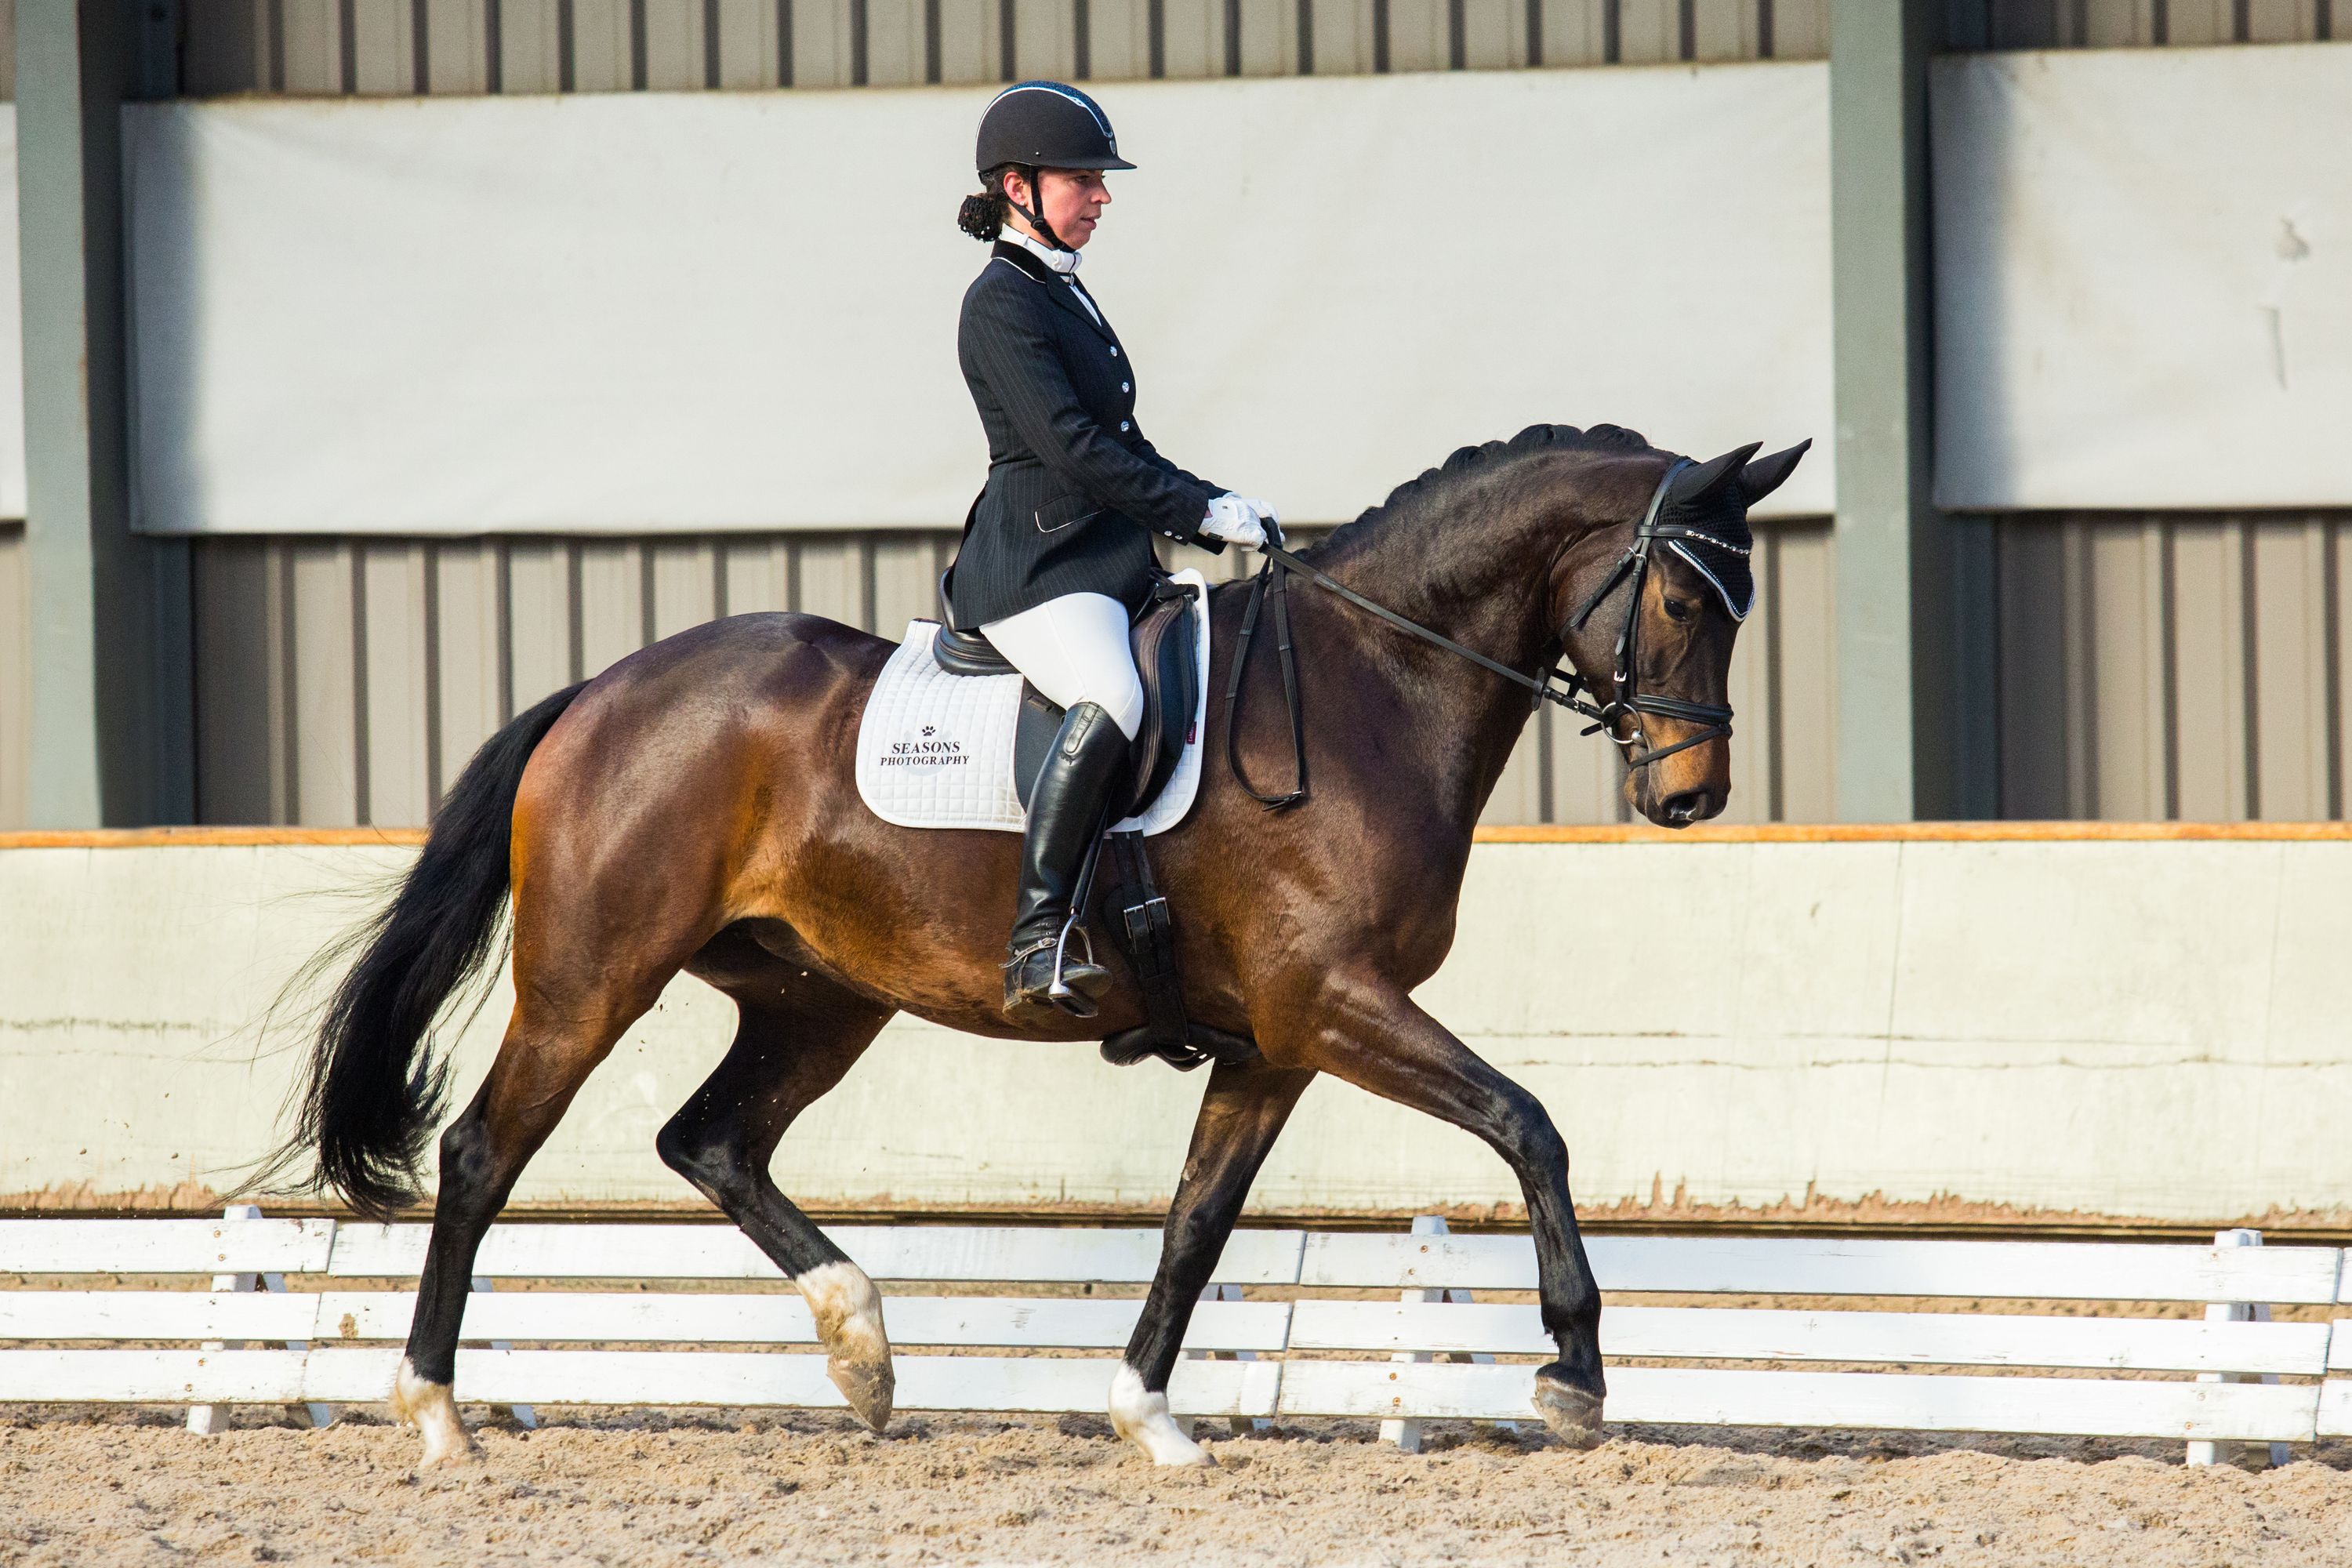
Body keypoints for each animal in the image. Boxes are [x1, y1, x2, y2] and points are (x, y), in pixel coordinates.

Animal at [268, 421, 1807, 1470]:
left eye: (1741, 609)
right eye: (1684, 601)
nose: (1691, 797)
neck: (1375, 684)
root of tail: (602, 689)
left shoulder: (1278, 1044)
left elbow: (1197, 1222)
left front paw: (1148, 1420)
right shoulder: (1331, 1005)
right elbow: (1529, 1123)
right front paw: (1575, 1372)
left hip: (819, 999)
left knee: (710, 1140)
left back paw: (865, 1352)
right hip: (592, 982)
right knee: (483, 1155)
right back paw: (439, 1415)